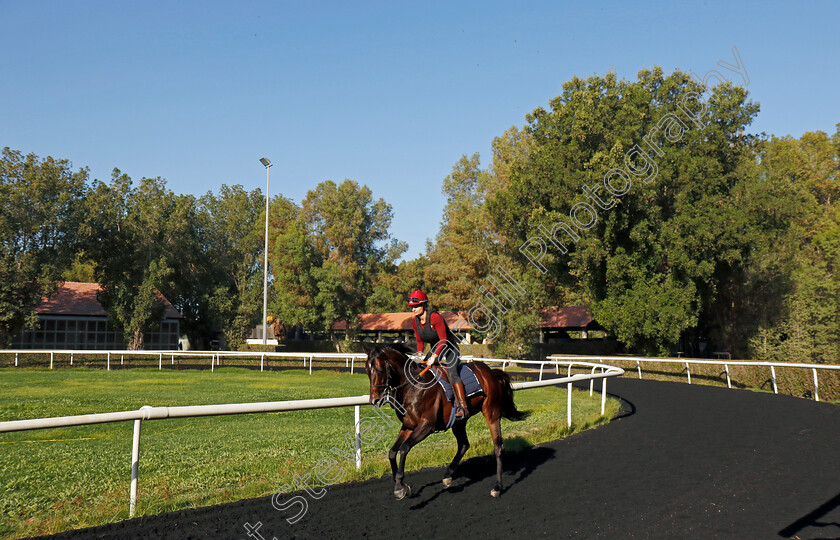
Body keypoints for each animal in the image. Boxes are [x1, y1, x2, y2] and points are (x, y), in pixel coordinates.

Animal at [360, 344, 524, 500]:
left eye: (380, 370)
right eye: (367, 370)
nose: (374, 400)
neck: (413, 385)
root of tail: (492, 372)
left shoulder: (427, 426)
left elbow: (404, 448)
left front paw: (400, 487)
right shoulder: (408, 426)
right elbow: (392, 452)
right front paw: (400, 483)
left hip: (492, 412)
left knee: (498, 447)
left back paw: (497, 487)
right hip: (459, 421)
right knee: (464, 444)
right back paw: (447, 476)